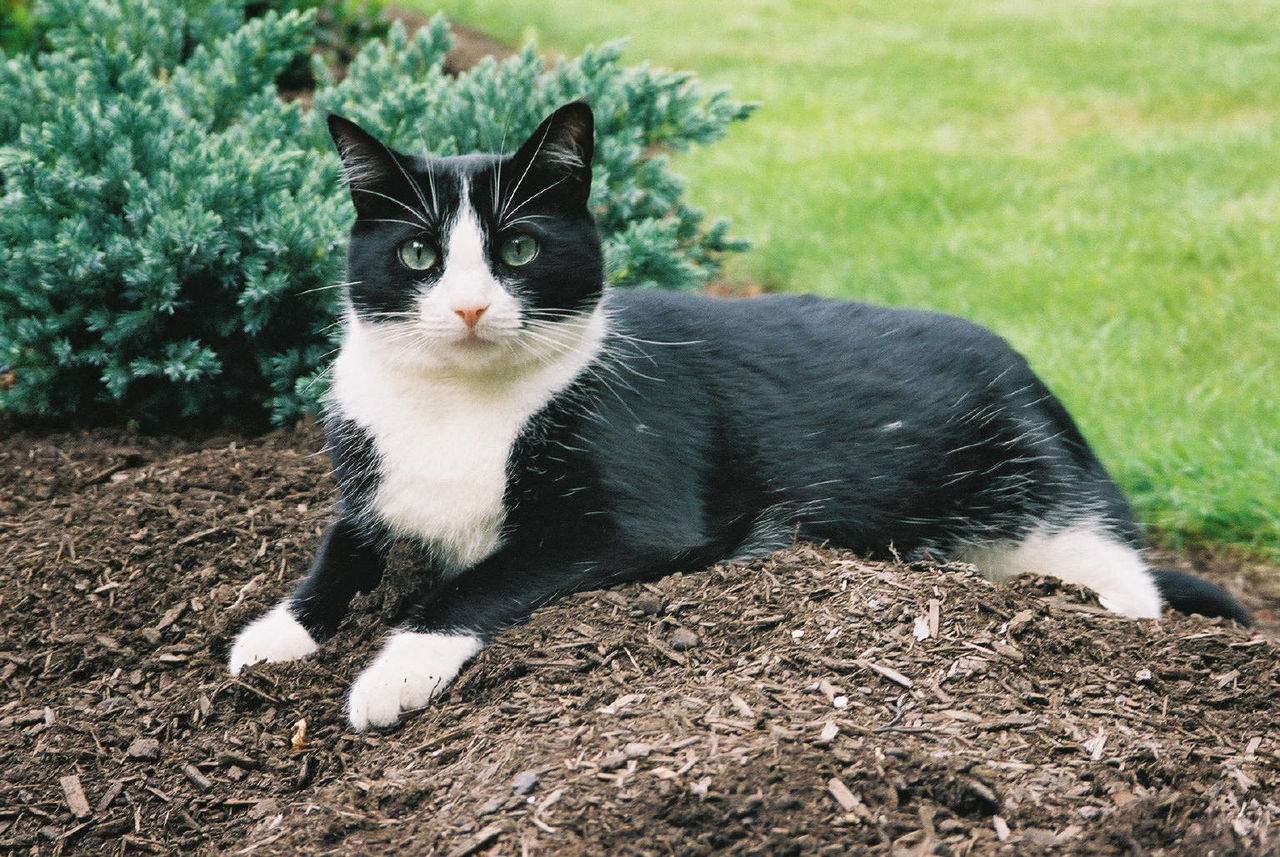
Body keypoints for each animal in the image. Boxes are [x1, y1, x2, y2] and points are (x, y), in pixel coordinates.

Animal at [225, 101, 1244, 731]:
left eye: (517, 249)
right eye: (419, 255)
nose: (472, 307)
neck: (458, 402)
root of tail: (1033, 376)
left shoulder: (634, 520)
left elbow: (476, 582)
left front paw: (392, 671)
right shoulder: (368, 477)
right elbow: (341, 546)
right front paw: (275, 633)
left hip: (1043, 499)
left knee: (1122, 572)